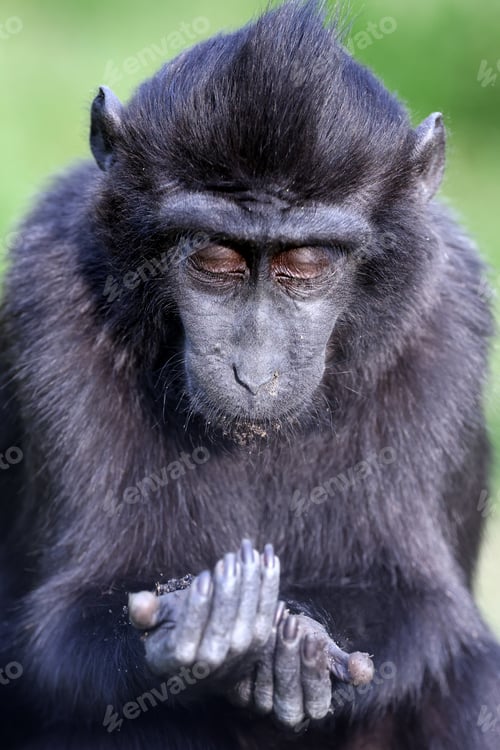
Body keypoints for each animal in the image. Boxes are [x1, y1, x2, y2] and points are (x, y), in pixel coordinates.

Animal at [1, 2, 499, 748]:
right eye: (215, 258)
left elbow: (424, 611)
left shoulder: (449, 317)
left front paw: (293, 644)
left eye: (306, 264)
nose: (253, 372)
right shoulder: (48, 295)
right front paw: (206, 628)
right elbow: (60, 628)